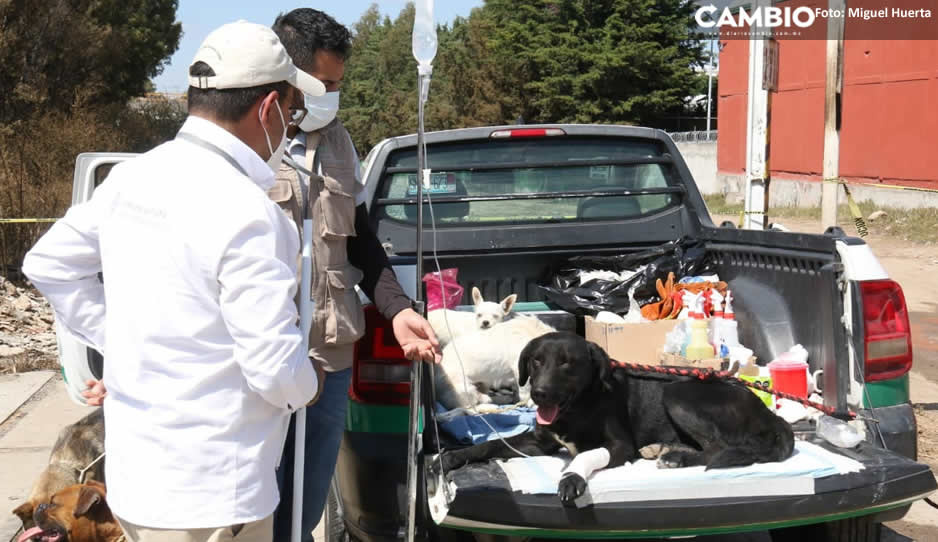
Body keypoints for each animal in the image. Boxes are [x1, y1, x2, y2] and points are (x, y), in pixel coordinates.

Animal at [436, 334, 792, 508]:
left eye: (567, 363)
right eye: (536, 361)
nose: (538, 394)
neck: (579, 406)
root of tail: (770, 414)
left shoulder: (619, 445)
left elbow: (585, 455)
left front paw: (572, 477)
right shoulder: (537, 441)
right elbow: (491, 445)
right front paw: (453, 455)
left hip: (677, 392)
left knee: (720, 447)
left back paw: (675, 457)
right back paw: (665, 449)